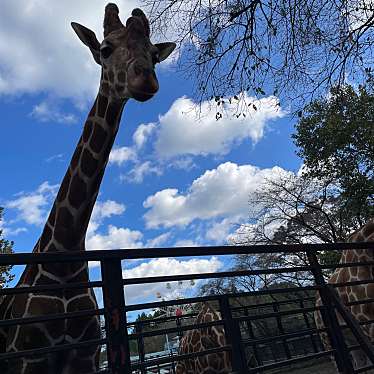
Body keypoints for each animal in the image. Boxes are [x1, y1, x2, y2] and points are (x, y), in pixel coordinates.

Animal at [0, 3, 175, 374]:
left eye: (154, 54)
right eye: (105, 49)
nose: (146, 80)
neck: (65, 256)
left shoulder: (88, 354)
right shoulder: (27, 357)